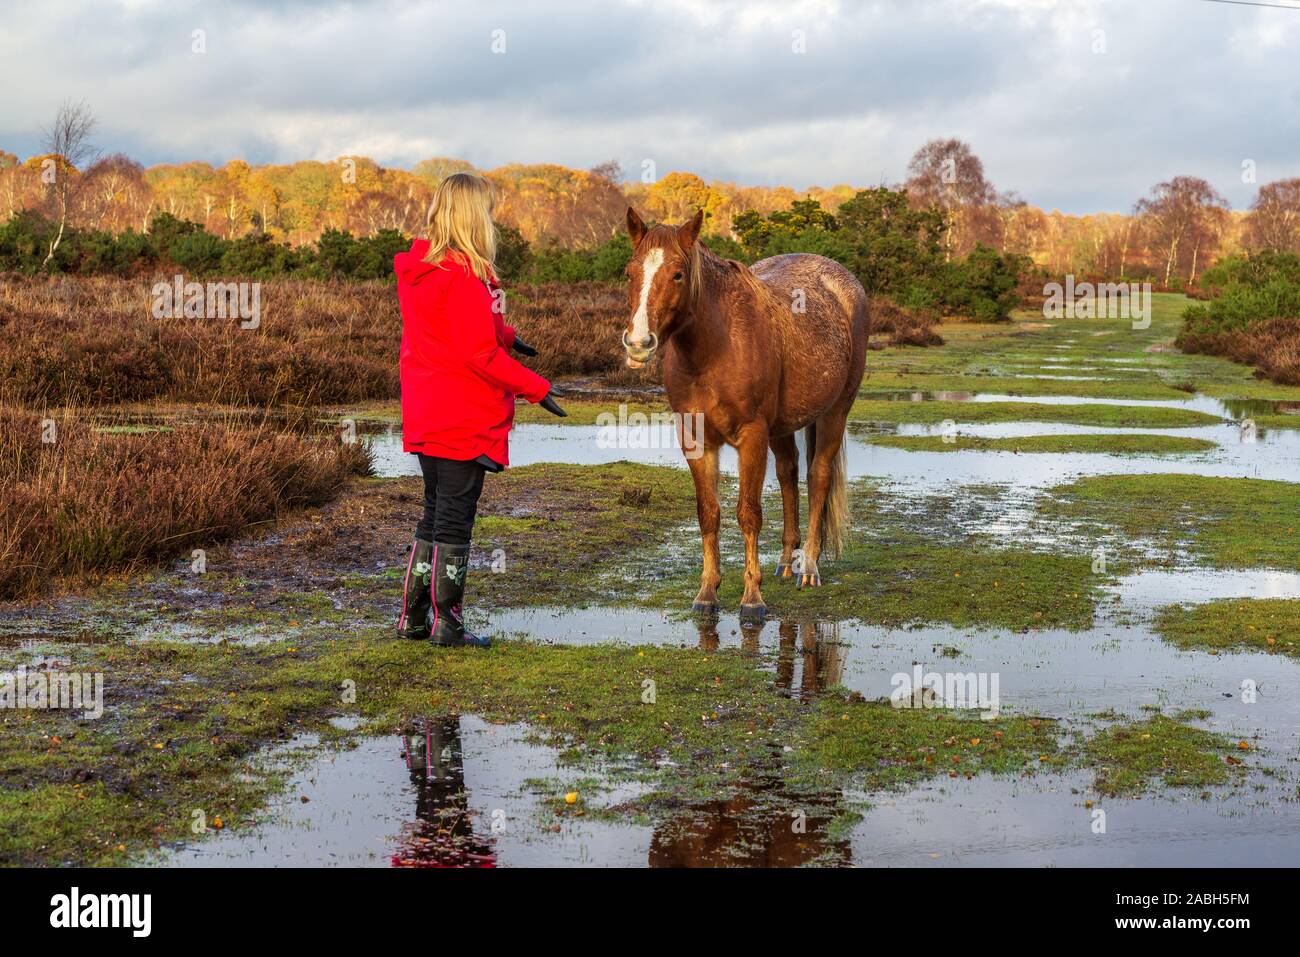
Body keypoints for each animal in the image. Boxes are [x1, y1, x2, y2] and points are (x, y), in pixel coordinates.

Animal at [624, 205, 868, 616]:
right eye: (630, 272)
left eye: (678, 274)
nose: (639, 343)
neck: (714, 349)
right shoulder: (696, 439)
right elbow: (708, 513)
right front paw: (707, 592)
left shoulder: (751, 436)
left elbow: (748, 514)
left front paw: (752, 598)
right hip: (782, 427)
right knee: (788, 474)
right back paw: (786, 562)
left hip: (835, 411)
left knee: (818, 477)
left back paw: (809, 567)